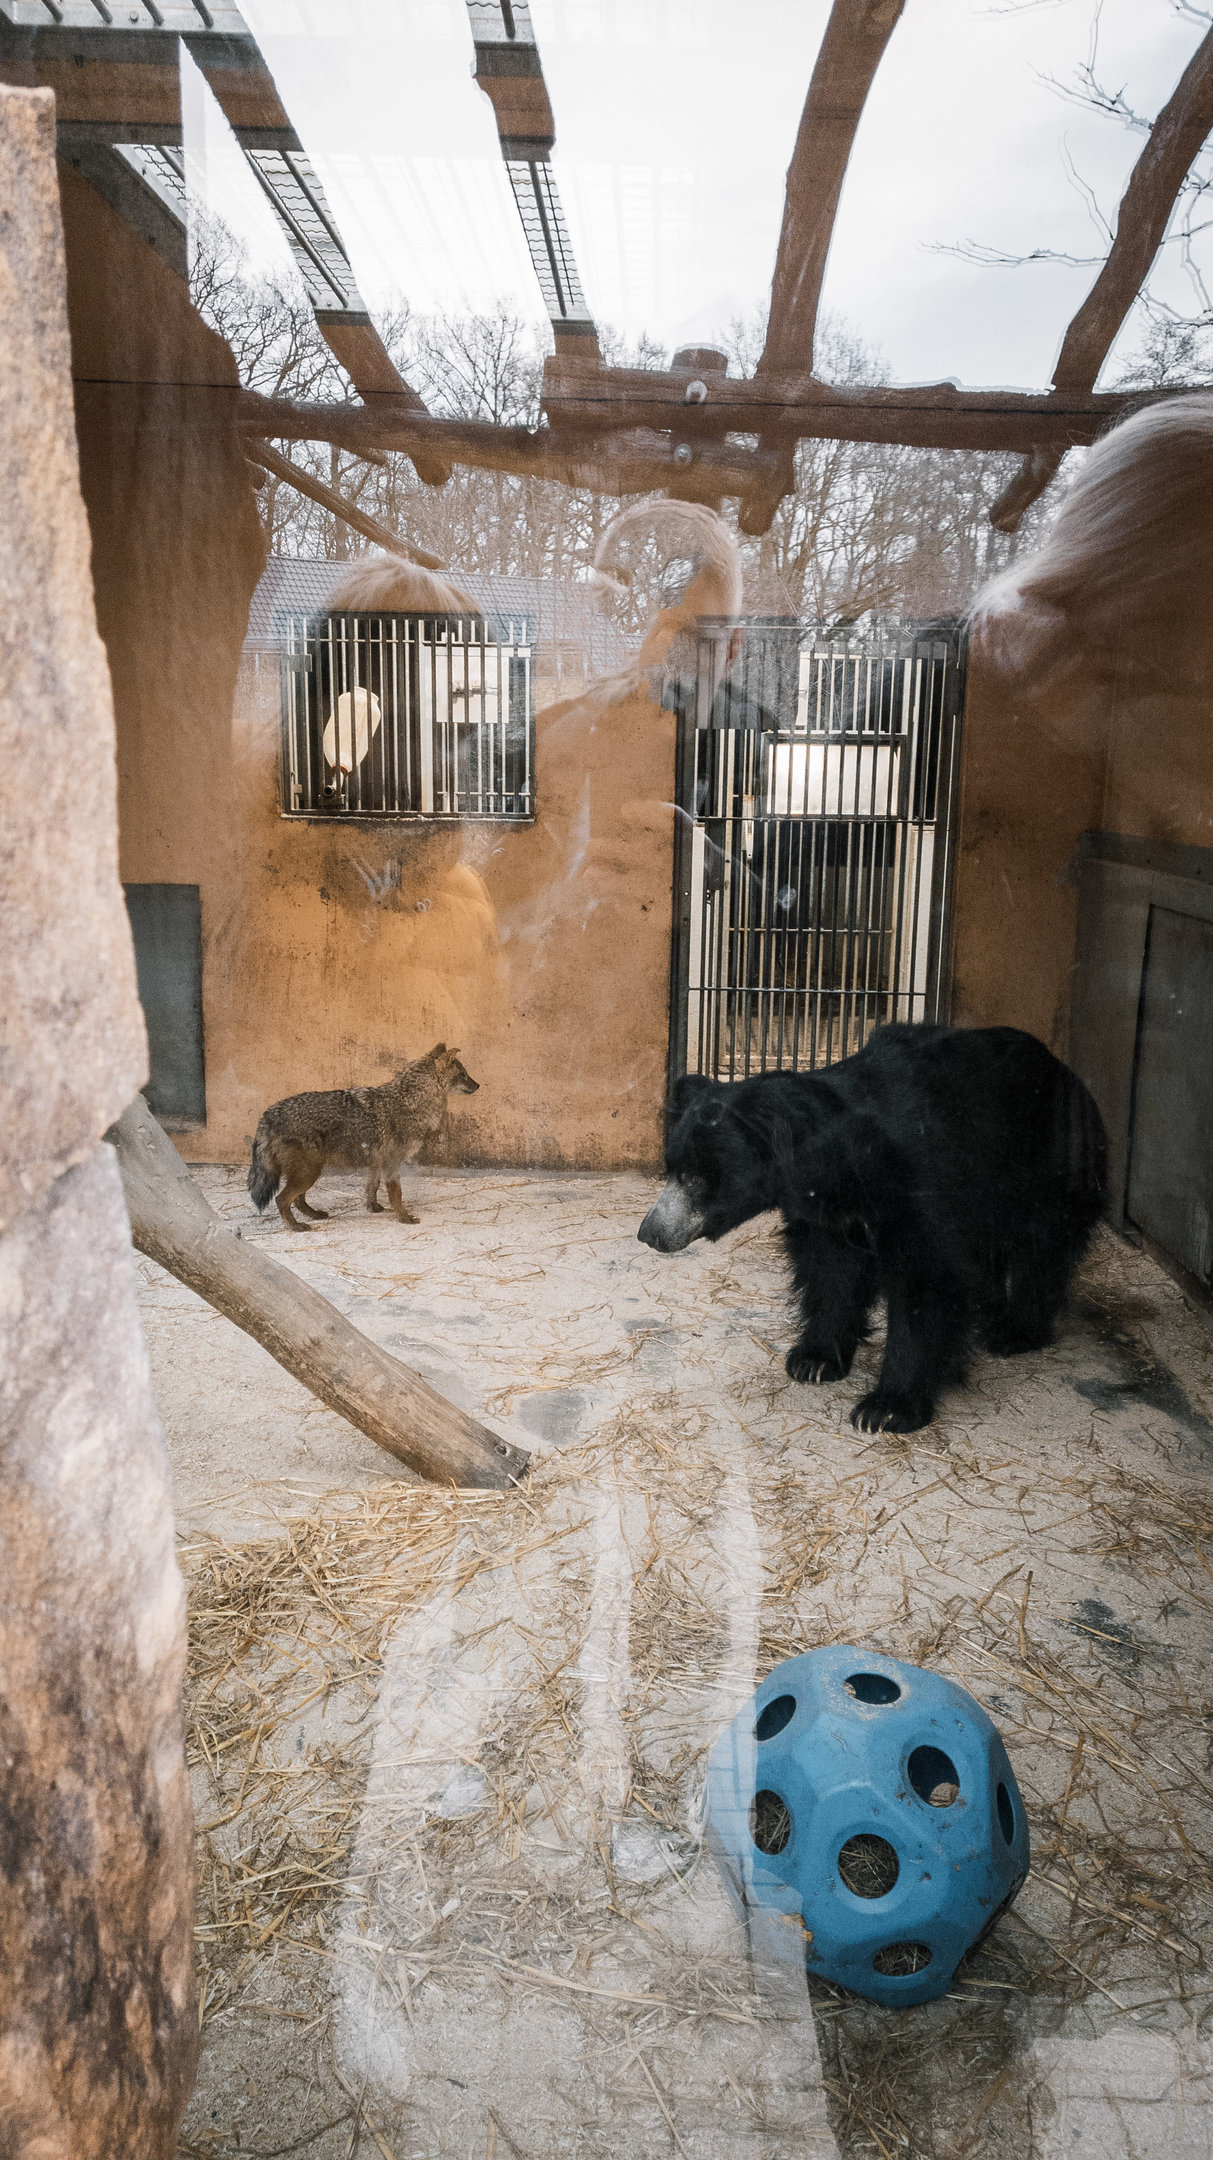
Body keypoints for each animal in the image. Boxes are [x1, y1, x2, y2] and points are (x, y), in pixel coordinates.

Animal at [637, 1024, 1107, 1435]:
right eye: (672, 1170)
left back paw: (1013, 1332)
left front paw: (884, 1410)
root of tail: (1069, 1074)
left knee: (1042, 1247)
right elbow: (832, 1271)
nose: (650, 1233)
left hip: (1048, 1164)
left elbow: (926, 1281)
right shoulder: (829, 1213)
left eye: (694, 1178)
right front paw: (813, 1361)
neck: (840, 1167)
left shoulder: (922, 1185)